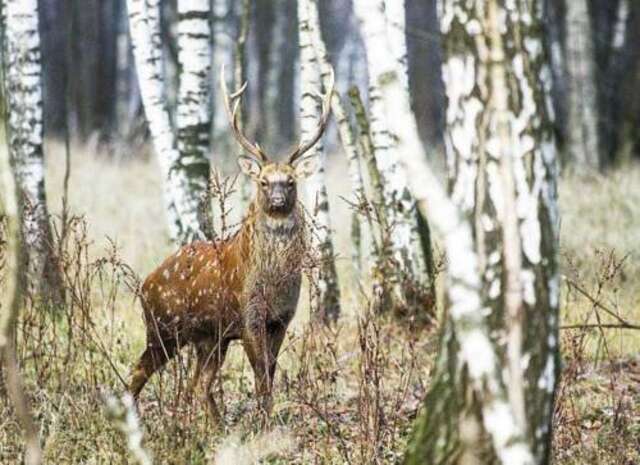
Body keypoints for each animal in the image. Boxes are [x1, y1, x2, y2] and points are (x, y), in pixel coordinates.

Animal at [126, 66, 336, 420]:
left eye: (290, 181)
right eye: (263, 181)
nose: (278, 200)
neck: (273, 284)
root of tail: (144, 284)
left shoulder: (281, 319)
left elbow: (269, 373)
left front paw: (267, 420)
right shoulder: (249, 315)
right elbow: (261, 376)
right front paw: (264, 424)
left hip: (210, 339)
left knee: (198, 385)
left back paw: (209, 425)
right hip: (162, 327)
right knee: (138, 372)